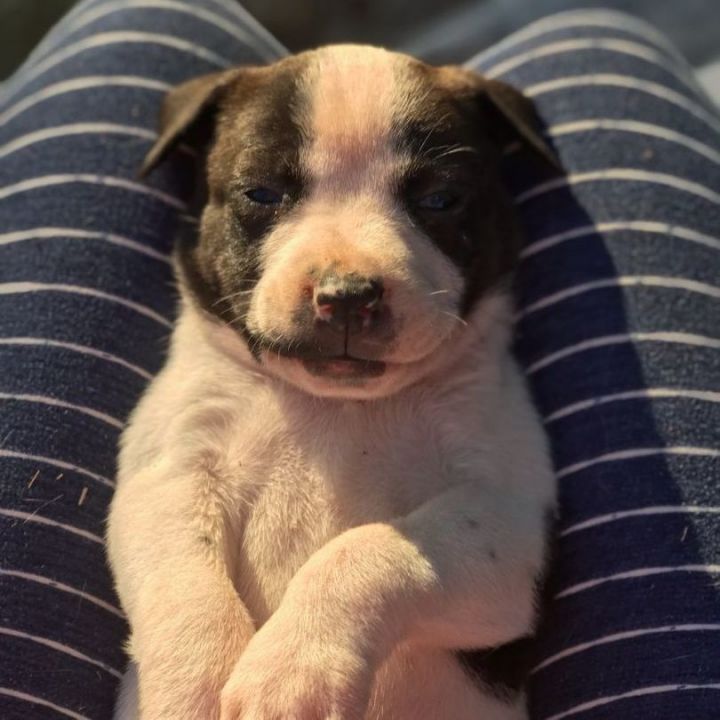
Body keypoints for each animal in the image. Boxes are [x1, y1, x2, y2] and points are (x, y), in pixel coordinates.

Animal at [107, 46, 556, 720]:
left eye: (441, 201)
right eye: (262, 193)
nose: (346, 295)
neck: (337, 406)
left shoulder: (503, 520)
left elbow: (369, 550)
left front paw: (292, 671)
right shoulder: (168, 477)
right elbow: (182, 578)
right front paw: (196, 683)